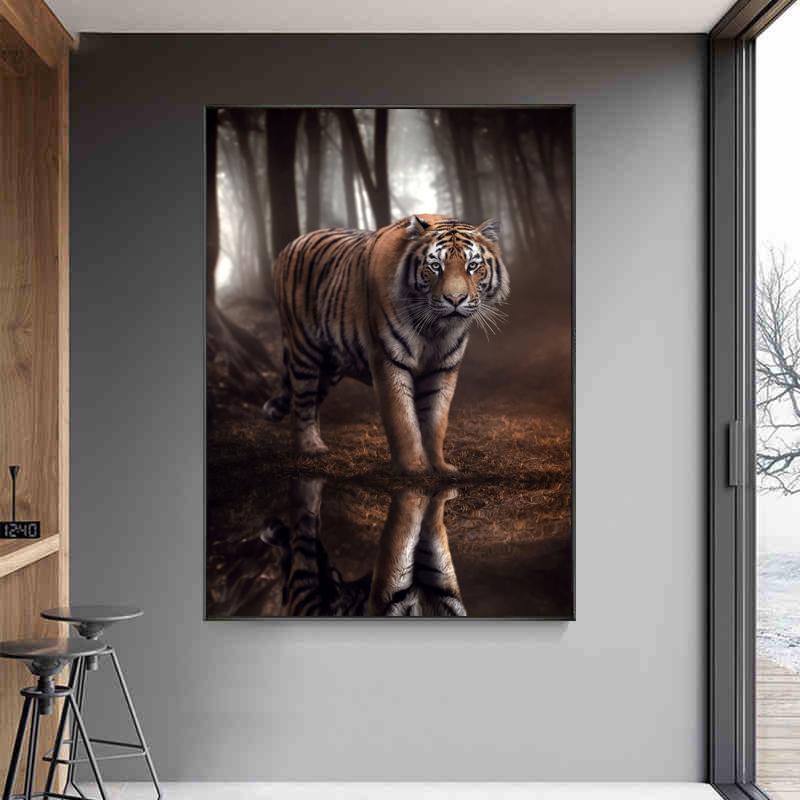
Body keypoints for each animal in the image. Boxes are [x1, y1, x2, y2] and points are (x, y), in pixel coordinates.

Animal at [262, 214, 510, 475]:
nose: (455, 299)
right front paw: (413, 468)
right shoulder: (389, 359)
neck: (435, 330)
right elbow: (403, 418)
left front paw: (439, 466)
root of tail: (290, 244)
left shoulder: (444, 368)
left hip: (330, 366)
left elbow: (436, 420)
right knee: (302, 402)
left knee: (311, 402)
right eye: (435, 266)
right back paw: (310, 447)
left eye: (472, 266)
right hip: (304, 349)